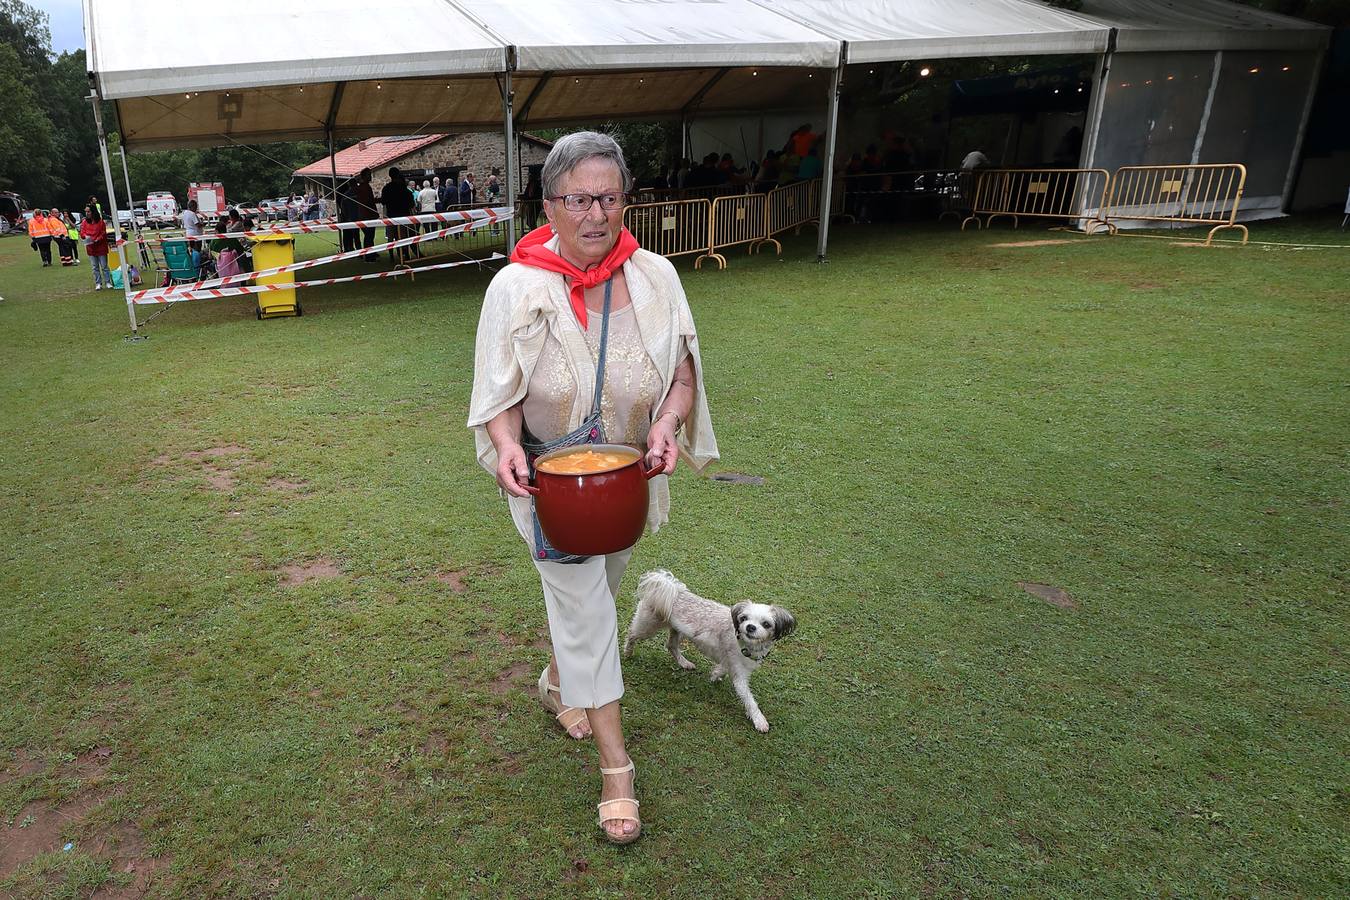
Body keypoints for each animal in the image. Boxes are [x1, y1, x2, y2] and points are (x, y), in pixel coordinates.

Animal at [623, 569, 793, 734]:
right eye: (744, 618)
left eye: (766, 624)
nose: (750, 627)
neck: (746, 643)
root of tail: (669, 587)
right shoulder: (739, 677)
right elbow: (749, 700)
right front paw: (759, 720)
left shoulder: (733, 662)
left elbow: (722, 667)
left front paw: (715, 675)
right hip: (649, 625)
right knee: (632, 634)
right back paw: (628, 652)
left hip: (676, 630)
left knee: (671, 646)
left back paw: (684, 663)